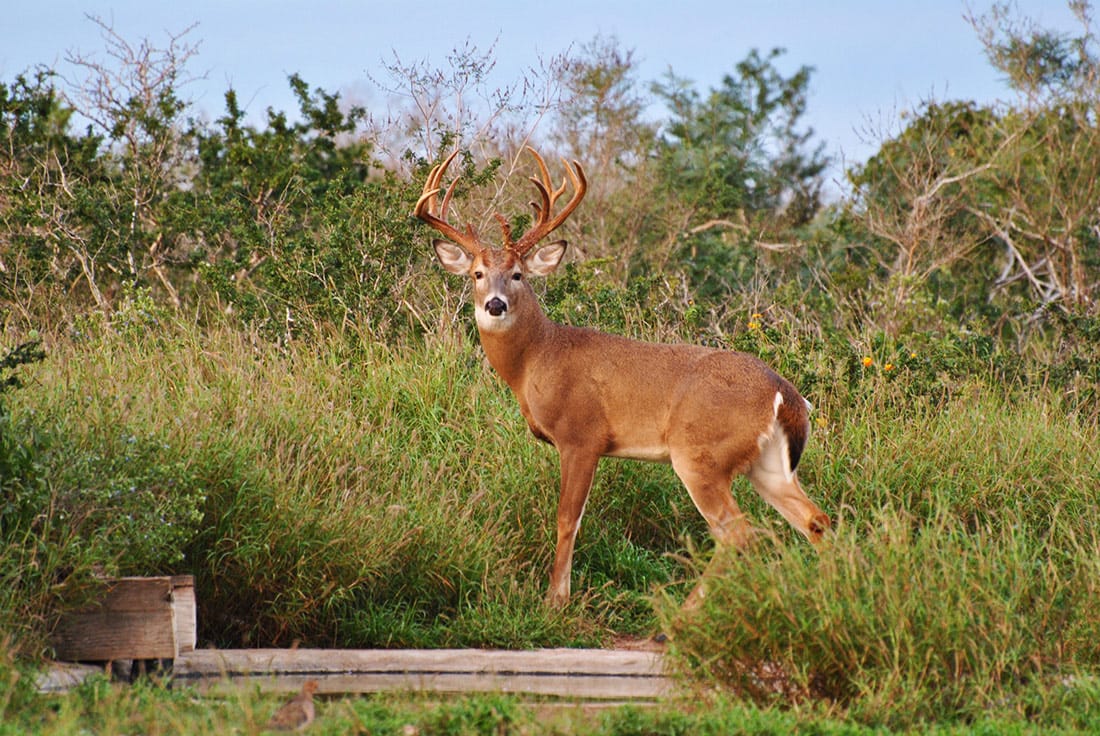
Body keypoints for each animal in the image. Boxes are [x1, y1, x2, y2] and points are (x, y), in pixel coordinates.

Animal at [415, 147, 831, 608]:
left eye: (518, 274)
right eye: (477, 274)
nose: (495, 304)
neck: (538, 357)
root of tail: (784, 393)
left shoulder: (581, 435)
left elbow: (567, 519)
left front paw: (556, 599)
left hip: (700, 454)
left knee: (739, 533)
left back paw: (682, 614)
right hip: (768, 463)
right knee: (815, 519)